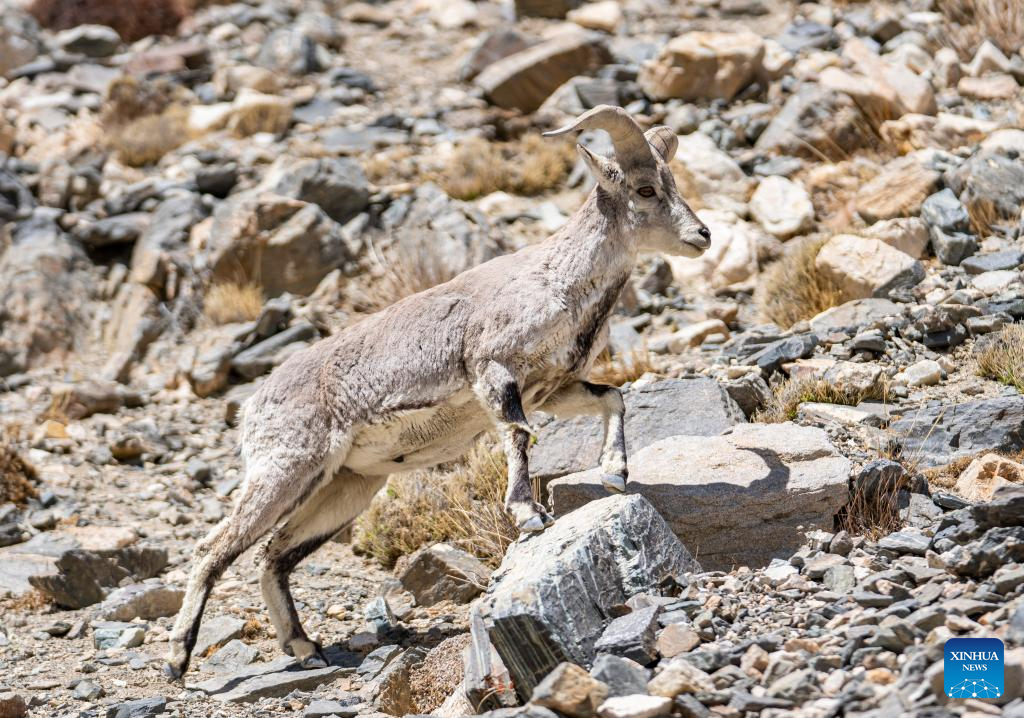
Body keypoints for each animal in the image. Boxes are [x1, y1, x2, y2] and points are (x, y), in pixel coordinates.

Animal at [165, 105, 710, 679]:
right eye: (646, 189)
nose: (702, 235)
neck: (557, 284)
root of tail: (253, 407)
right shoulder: (495, 372)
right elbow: (518, 436)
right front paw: (528, 515)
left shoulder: (553, 389)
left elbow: (612, 398)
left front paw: (614, 473)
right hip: (284, 470)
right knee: (213, 548)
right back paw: (179, 658)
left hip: (347, 487)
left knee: (273, 554)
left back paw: (304, 646)